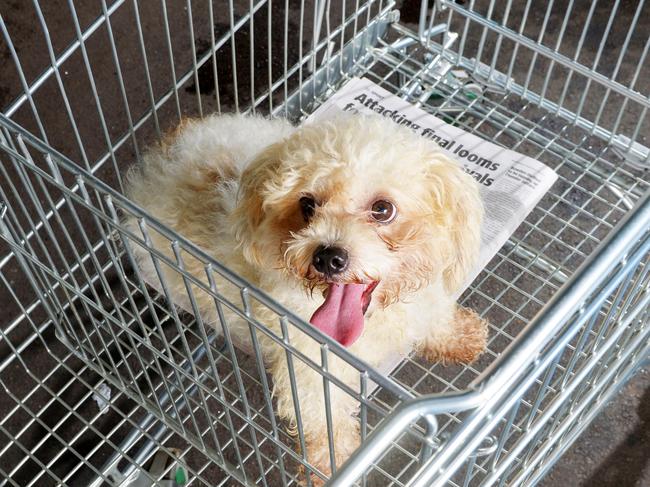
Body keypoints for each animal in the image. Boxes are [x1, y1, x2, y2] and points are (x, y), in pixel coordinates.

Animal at [123, 112, 486, 482]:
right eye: (307, 205)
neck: (376, 316)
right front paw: (330, 467)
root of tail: (172, 146)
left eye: (383, 209)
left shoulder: (424, 303)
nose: (327, 257)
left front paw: (459, 336)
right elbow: (324, 424)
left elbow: (435, 317)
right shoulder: (311, 370)